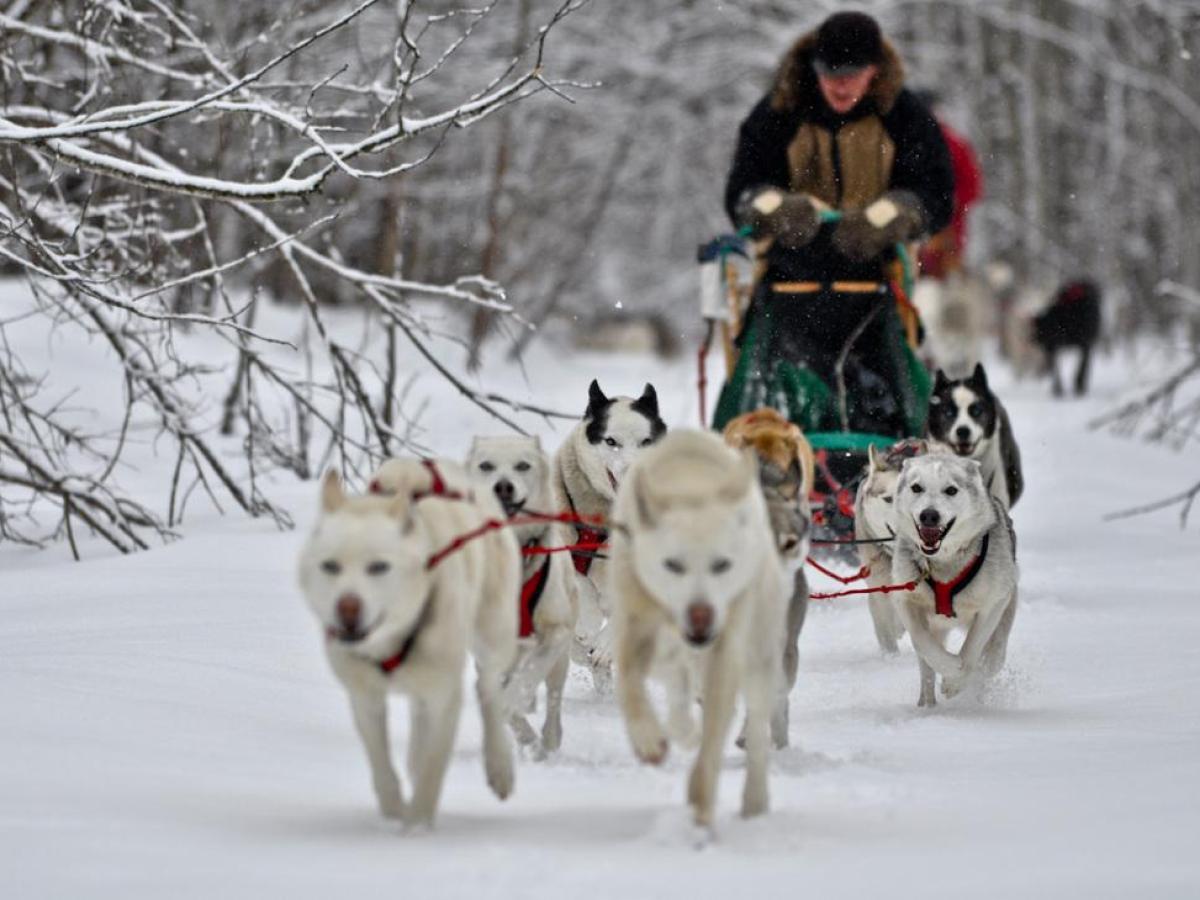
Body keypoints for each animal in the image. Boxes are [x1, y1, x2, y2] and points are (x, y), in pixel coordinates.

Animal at [297, 460, 518, 830]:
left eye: (378, 566)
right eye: (330, 566)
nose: (347, 608)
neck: (391, 638)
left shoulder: (444, 698)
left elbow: (433, 768)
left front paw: (416, 827)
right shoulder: (365, 698)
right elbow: (380, 762)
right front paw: (393, 811)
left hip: (492, 636)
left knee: (487, 691)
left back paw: (499, 764)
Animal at [465, 439, 578, 763]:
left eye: (523, 465)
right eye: (486, 465)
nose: (503, 486)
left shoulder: (555, 633)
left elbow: (527, 678)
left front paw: (517, 702)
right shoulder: (488, 652)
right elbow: (498, 700)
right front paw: (523, 735)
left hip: (560, 659)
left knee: (553, 697)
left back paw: (549, 738)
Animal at [609, 429, 787, 830]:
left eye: (722, 564)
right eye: (672, 564)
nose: (701, 615)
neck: (691, 484)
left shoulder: (725, 651)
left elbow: (714, 739)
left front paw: (700, 806)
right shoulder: (636, 626)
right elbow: (629, 681)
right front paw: (647, 737)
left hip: (759, 658)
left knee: (755, 729)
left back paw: (754, 801)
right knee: (678, 688)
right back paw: (681, 728)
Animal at [888, 453, 1017, 710]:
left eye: (951, 490)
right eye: (916, 487)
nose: (929, 515)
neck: (943, 561)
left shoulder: (992, 604)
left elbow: (973, 646)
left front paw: (956, 681)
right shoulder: (906, 599)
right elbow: (922, 641)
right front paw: (950, 669)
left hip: (1005, 609)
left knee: (993, 655)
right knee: (926, 666)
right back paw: (926, 704)